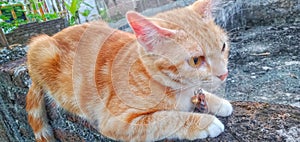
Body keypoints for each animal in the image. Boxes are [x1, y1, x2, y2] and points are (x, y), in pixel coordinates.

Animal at [25, 0, 232, 141]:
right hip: (42, 50)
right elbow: (167, 118)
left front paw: (218, 102)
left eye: (223, 47)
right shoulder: (117, 121)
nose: (224, 74)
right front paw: (203, 122)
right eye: (196, 61)